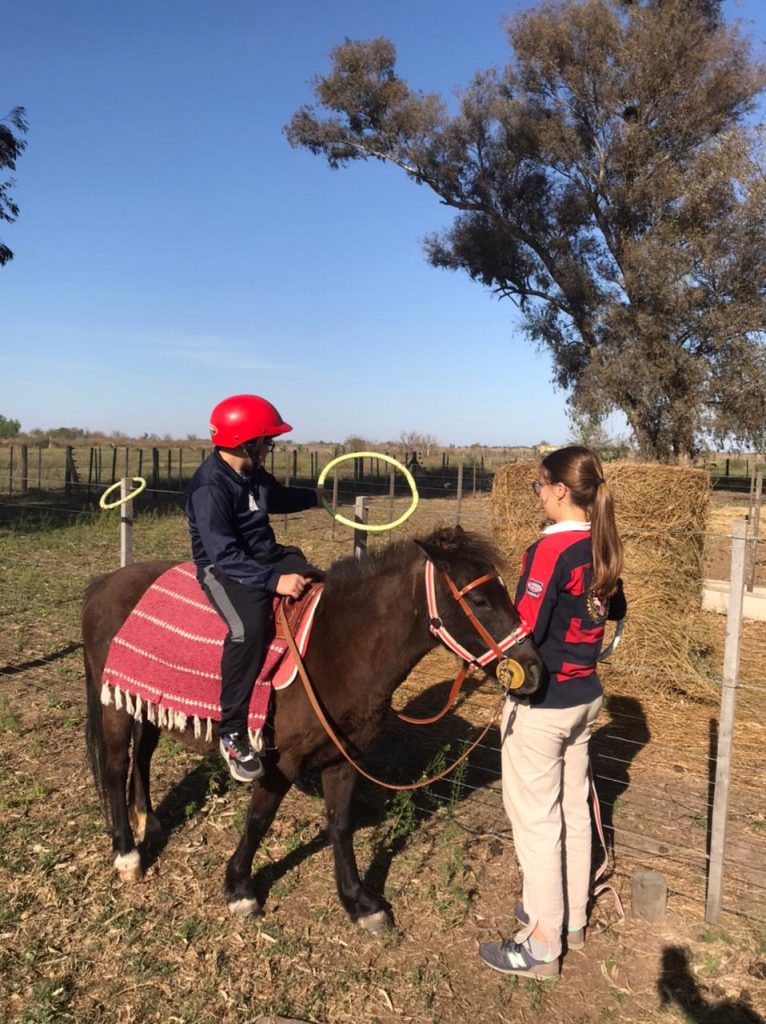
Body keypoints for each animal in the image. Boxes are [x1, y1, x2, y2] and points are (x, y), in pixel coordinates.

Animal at [82, 524, 544, 933]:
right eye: (479, 599)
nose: (534, 670)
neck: (337, 647)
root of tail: (104, 584)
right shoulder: (280, 761)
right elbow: (259, 819)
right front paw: (240, 889)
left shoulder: (344, 758)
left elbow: (340, 825)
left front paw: (358, 902)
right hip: (113, 707)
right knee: (115, 767)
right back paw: (127, 855)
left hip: (143, 702)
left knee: (142, 758)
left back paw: (151, 823)